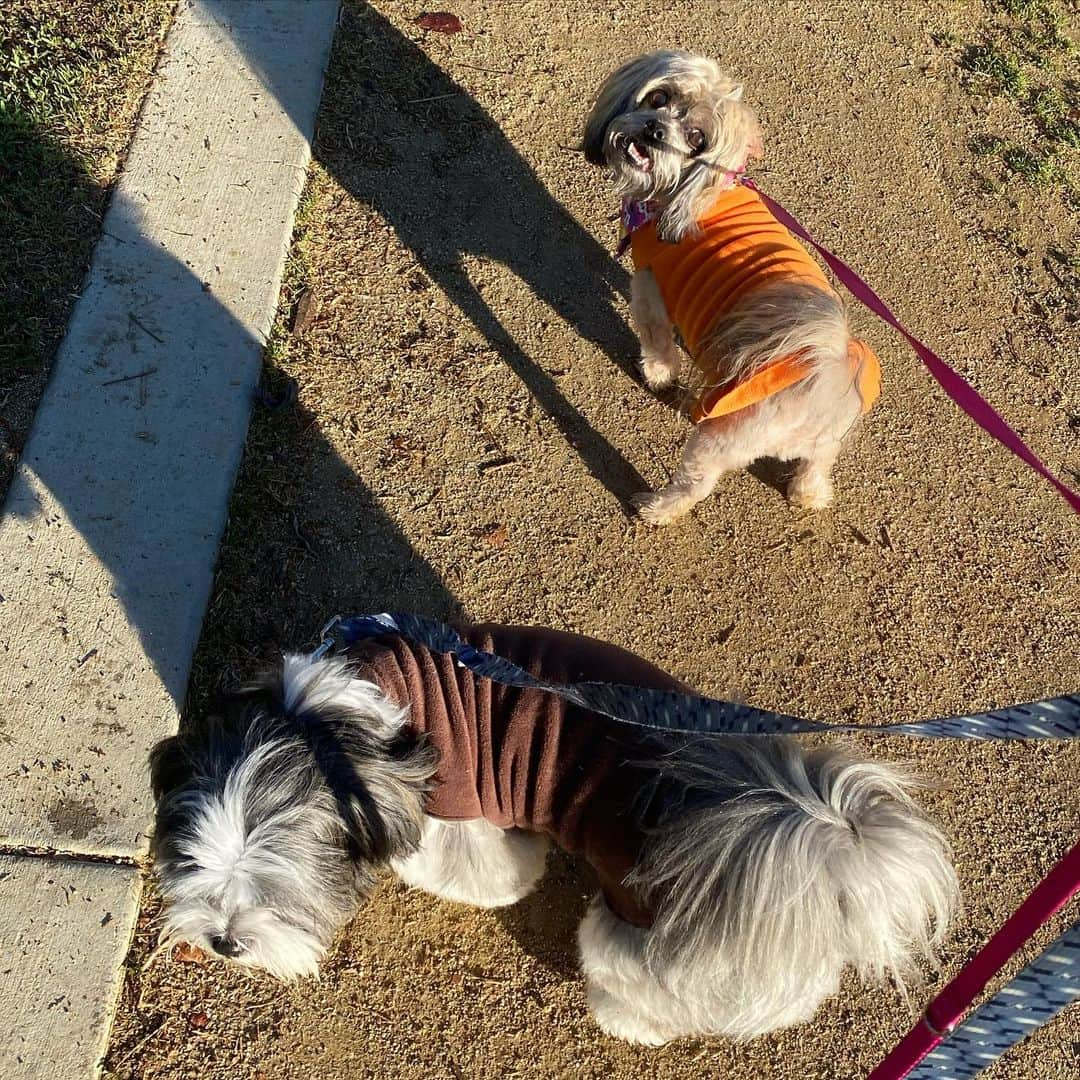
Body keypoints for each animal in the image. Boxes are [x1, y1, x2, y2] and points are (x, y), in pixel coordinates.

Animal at [583, 52, 876, 520]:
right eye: (659, 98)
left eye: (696, 138)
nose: (655, 130)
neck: (688, 195)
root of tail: (823, 379)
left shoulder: (649, 292)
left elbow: (658, 345)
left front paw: (657, 374)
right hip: (824, 445)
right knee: (816, 467)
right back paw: (809, 494)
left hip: (716, 440)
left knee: (694, 485)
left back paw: (656, 509)